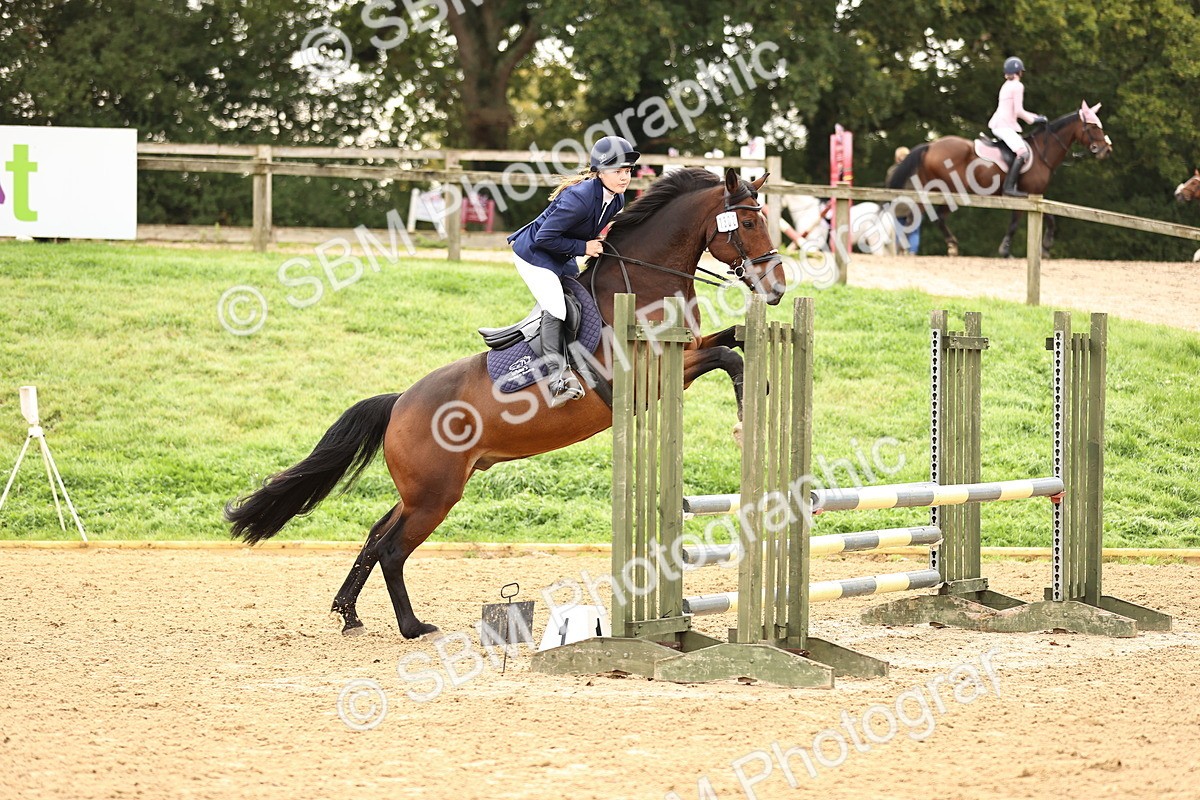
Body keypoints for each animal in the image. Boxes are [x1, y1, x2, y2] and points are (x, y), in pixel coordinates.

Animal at [225, 167, 789, 639]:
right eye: (748, 222)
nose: (778, 289)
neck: (645, 279)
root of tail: (399, 403)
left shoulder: (681, 355)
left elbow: (731, 340)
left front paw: (756, 392)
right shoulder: (653, 370)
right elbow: (725, 356)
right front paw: (744, 420)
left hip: (424, 490)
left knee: (374, 534)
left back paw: (349, 613)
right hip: (435, 496)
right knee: (391, 549)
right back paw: (411, 627)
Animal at [886, 101, 1112, 257]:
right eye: (1094, 127)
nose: (1106, 150)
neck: (1042, 152)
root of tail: (931, 145)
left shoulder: (1036, 197)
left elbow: (1049, 218)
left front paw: (1045, 247)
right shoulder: (1025, 196)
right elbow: (1016, 224)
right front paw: (1006, 251)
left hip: (931, 188)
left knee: (915, 215)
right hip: (949, 190)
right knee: (936, 216)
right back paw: (950, 246)